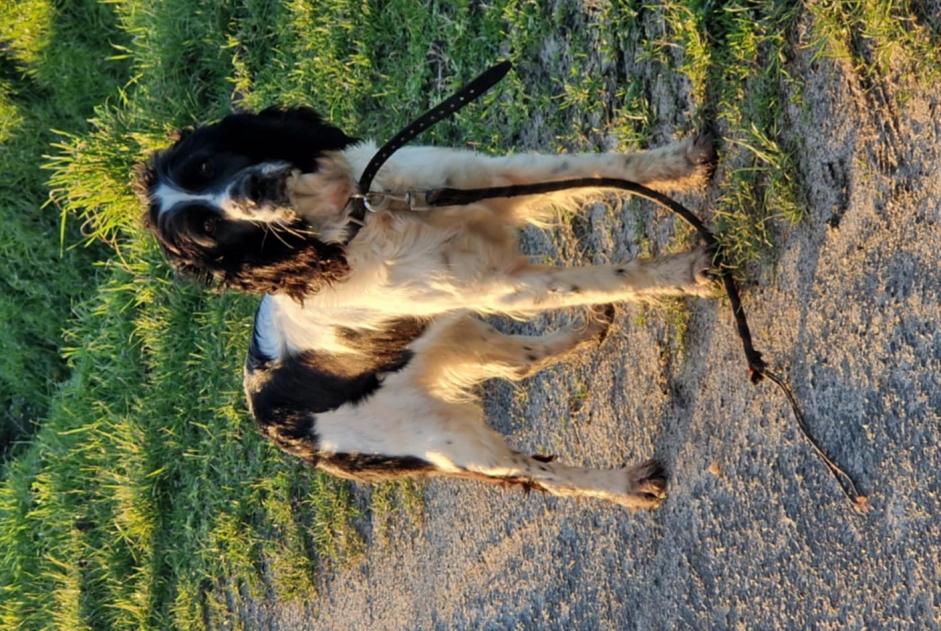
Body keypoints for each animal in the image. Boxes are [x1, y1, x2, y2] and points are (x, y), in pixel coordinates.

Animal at [138, 106, 712, 512]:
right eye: (208, 229)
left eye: (208, 164)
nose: (255, 189)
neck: (361, 215)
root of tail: (272, 423)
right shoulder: (505, 286)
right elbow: (608, 277)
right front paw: (691, 269)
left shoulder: (487, 180)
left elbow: (600, 167)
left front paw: (683, 161)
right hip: (447, 437)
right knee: (534, 473)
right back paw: (627, 485)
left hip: (450, 335)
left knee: (519, 361)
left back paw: (587, 332)